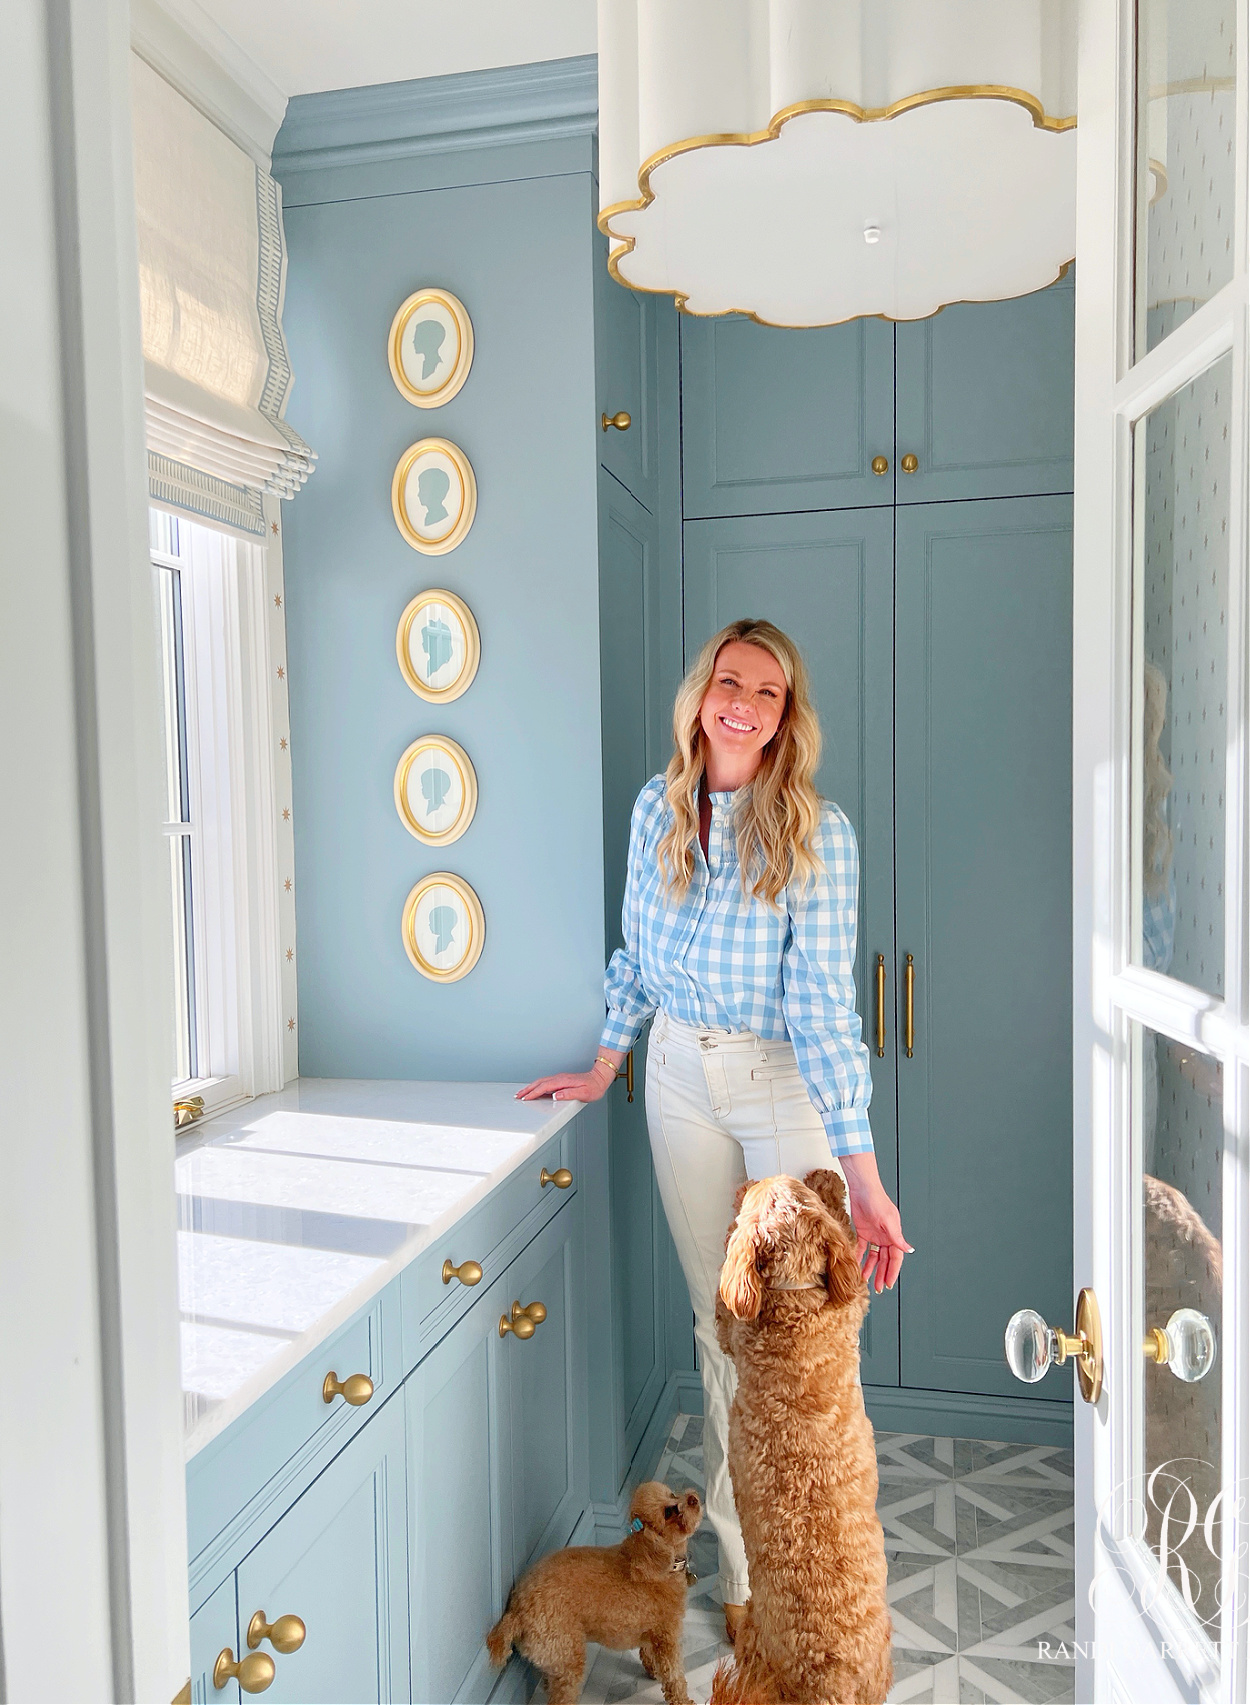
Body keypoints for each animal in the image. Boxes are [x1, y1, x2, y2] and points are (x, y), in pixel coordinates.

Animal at [484, 1479, 702, 1705]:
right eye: (668, 1512)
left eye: (672, 1495)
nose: (693, 1499)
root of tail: (516, 1611)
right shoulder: (667, 1636)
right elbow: (674, 1676)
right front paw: (683, 1700)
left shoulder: (651, 1632)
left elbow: (648, 1653)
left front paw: (652, 1671)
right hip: (569, 1656)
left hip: (555, 1657)